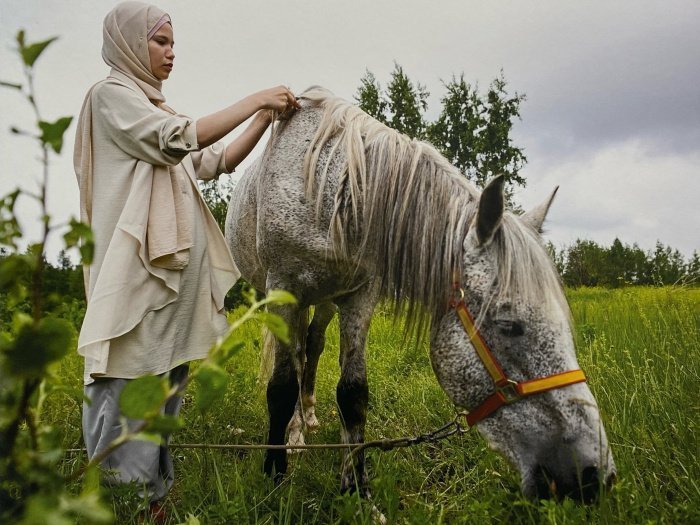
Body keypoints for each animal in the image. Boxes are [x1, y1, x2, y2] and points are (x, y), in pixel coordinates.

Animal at [227, 86, 616, 500]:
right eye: (509, 325)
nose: (594, 473)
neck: (325, 193)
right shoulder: (284, 287)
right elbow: (281, 388)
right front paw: (274, 476)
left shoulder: (360, 297)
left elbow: (353, 393)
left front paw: (357, 489)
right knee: (298, 356)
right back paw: (295, 435)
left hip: (325, 302)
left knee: (311, 348)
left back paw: (308, 419)